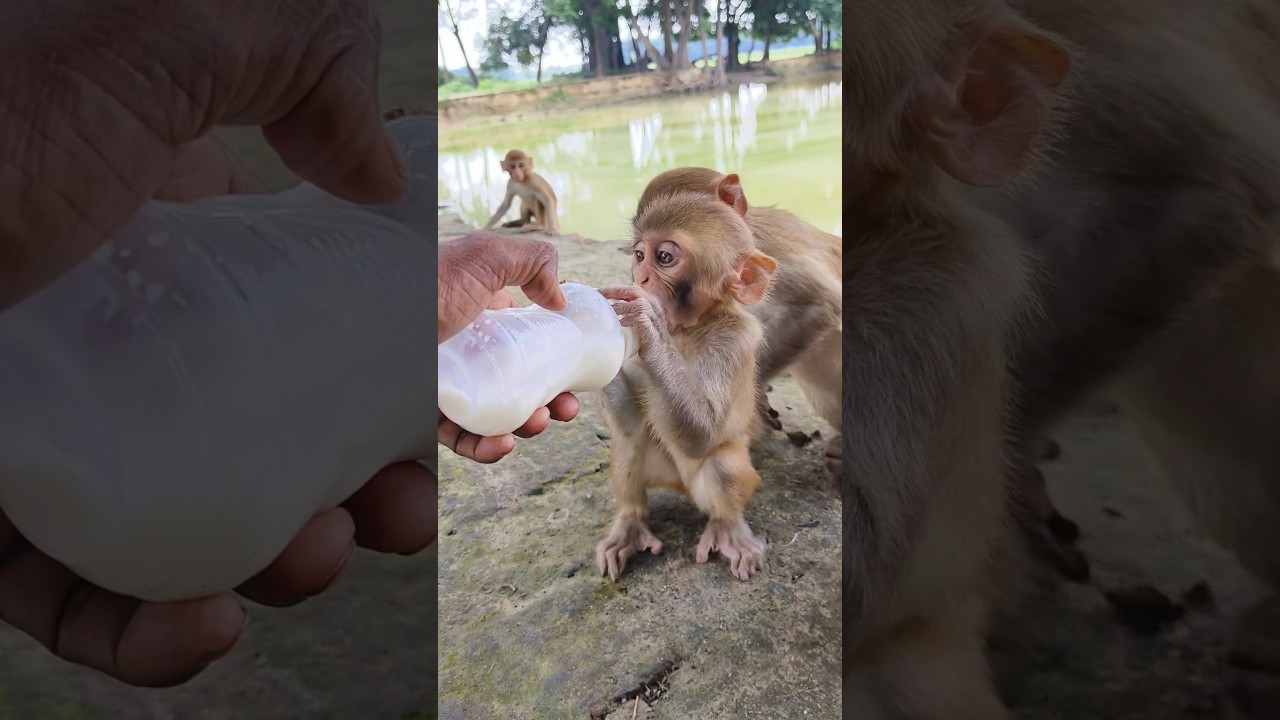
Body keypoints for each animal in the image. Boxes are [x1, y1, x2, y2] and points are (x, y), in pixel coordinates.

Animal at [593, 174, 778, 583]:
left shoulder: (735, 341)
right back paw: (631, 521)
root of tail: (679, 486)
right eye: (639, 255)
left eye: (665, 257)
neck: (688, 330)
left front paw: (648, 321)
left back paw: (727, 527)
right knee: (629, 443)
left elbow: (703, 435)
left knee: (722, 460)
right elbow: (629, 426)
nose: (641, 277)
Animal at [635, 168, 843, 475]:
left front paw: (755, 399)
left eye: (664, 256)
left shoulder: (771, 249)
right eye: (638, 254)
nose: (639, 278)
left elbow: (819, 306)